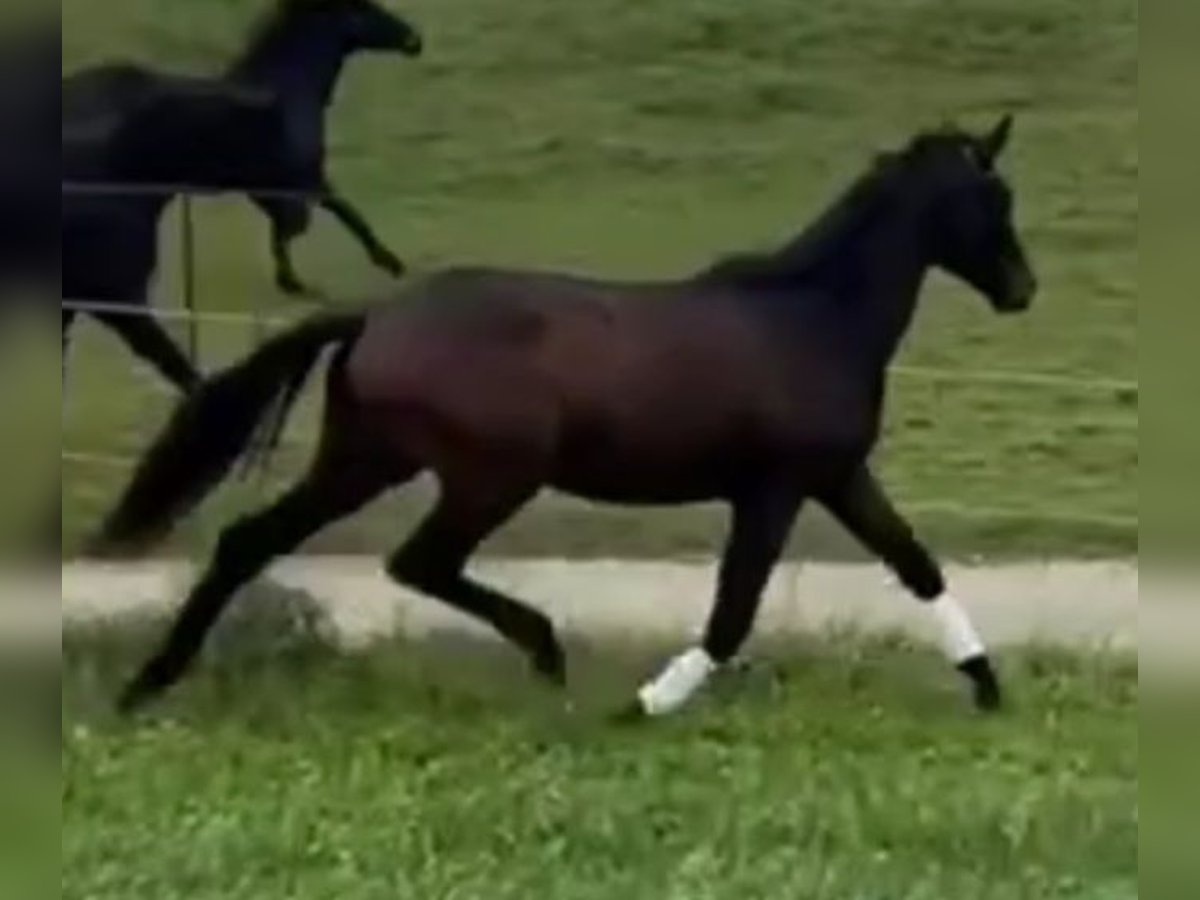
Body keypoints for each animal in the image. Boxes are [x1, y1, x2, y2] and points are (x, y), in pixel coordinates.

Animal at [64, 0, 427, 300]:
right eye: (364, 7)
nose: (414, 40)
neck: (288, 89)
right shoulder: (303, 179)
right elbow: (339, 215)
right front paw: (389, 264)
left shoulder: (270, 188)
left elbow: (290, 230)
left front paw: (293, 282)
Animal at [93, 120, 1036, 724]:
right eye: (990, 198)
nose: (1023, 290)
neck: (810, 319)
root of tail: (375, 318)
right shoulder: (773, 490)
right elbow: (733, 610)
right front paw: (647, 704)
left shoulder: (836, 476)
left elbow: (915, 564)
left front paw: (988, 687)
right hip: (491, 475)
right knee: (420, 561)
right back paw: (548, 653)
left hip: (367, 460)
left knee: (250, 541)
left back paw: (148, 685)